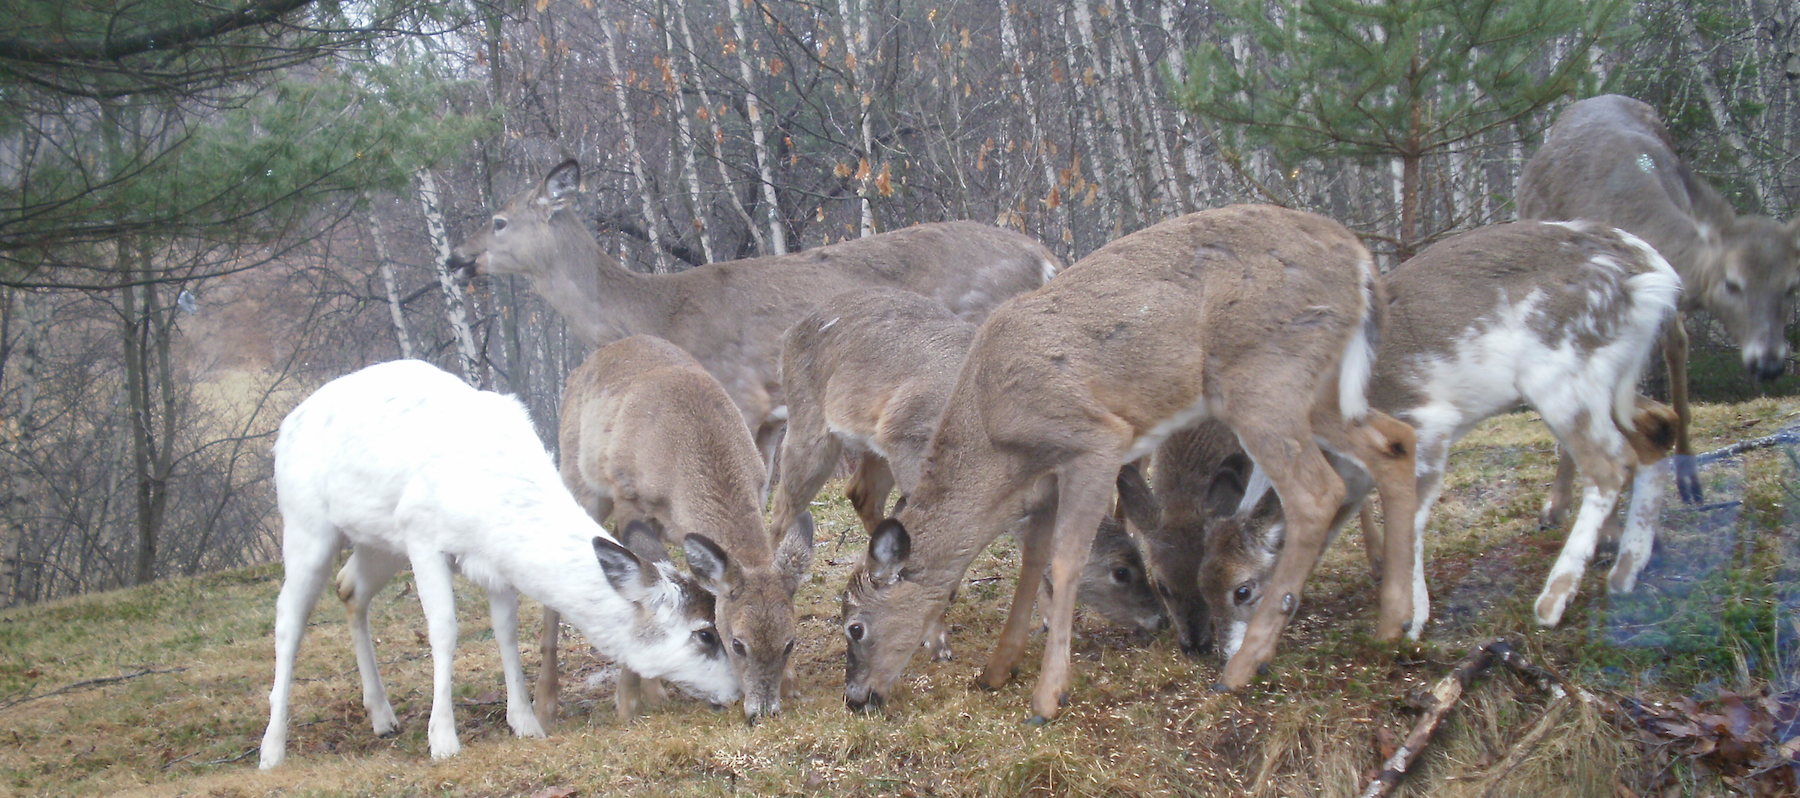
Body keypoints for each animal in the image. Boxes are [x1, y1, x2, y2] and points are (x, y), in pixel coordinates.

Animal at [259, 360, 738, 769]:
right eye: (705, 633)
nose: (736, 692)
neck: (492, 505)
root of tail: (286, 425)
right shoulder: (421, 533)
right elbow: (444, 630)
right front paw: (443, 740)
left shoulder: (496, 565)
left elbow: (506, 632)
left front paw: (526, 722)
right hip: (307, 523)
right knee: (287, 616)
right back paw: (272, 749)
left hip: (378, 540)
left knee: (349, 588)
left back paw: (381, 715)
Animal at [543, 335, 814, 727]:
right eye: (737, 643)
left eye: (789, 643)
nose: (762, 712)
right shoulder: (628, 498)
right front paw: (627, 704)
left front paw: (791, 683)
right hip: (580, 484)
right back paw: (544, 707)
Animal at [768, 287, 1167, 656]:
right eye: (1120, 571)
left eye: (1138, 555)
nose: (1159, 619)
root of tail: (789, 333)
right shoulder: (908, 438)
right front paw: (936, 638)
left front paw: (1045, 615)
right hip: (810, 428)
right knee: (781, 508)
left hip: (871, 444)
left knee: (859, 491)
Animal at [840, 205, 1420, 722]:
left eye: (855, 627)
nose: (855, 697)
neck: (994, 432)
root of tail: (1360, 260)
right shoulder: (1046, 480)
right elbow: (1033, 564)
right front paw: (997, 672)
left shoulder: (1095, 438)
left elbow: (1065, 561)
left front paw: (1047, 699)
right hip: (1319, 393)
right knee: (1396, 442)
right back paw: (1393, 623)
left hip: (1262, 379)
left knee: (1317, 492)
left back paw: (1242, 668)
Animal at [1164, 221, 1681, 654]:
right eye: (1204, 584)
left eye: (1243, 589)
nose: (1223, 653)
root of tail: (1654, 269)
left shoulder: (1425, 423)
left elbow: (1409, 520)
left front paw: (1411, 620)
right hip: (1610, 380)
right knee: (1659, 427)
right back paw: (1627, 570)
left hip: (1559, 372)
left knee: (1611, 464)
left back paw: (1553, 601)